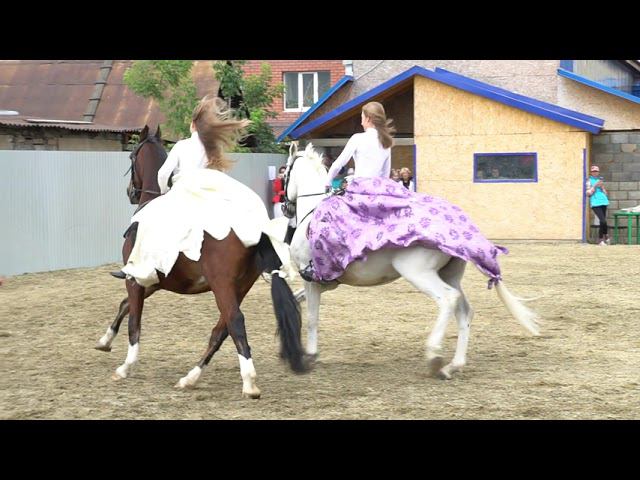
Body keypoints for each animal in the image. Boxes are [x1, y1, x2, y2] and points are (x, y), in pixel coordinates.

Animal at [94, 124, 310, 398]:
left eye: (132, 157)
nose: (131, 192)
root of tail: (256, 229)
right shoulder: (152, 281)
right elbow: (125, 306)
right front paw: (105, 341)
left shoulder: (136, 279)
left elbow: (134, 320)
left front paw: (125, 366)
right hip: (239, 287)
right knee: (221, 330)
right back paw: (191, 377)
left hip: (222, 286)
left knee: (235, 321)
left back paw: (249, 383)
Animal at [284, 142, 540, 378]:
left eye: (285, 173)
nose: (286, 209)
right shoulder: (325, 282)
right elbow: (297, 300)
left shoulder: (311, 279)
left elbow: (312, 317)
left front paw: (310, 356)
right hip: (449, 275)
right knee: (464, 310)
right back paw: (452, 366)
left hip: (418, 273)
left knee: (448, 299)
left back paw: (434, 355)